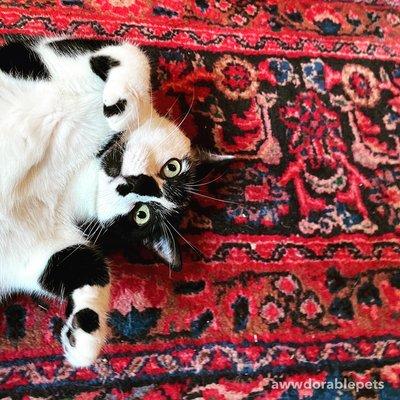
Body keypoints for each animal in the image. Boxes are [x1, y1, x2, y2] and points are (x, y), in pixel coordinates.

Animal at [0, 36, 230, 366]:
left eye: (142, 215)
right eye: (172, 167)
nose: (133, 184)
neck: (77, 167)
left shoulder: (37, 239)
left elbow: (89, 266)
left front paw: (84, 337)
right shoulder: (55, 55)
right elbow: (133, 54)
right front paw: (124, 107)